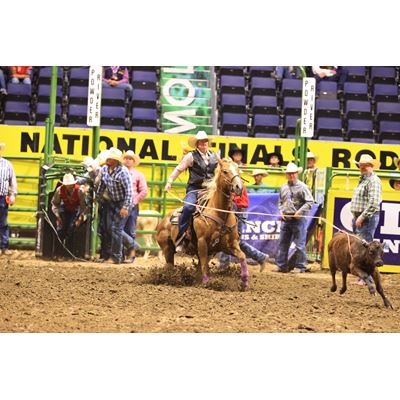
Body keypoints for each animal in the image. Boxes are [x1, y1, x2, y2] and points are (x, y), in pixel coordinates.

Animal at [157, 158, 248, 290]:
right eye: (225, 171)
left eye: (238, 170)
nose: (239, 187)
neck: (219, 212)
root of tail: (163, 221)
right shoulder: (202, 242)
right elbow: (205, 264)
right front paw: (206, 283)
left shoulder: (231, 245)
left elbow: (242, 257)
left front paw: (244, 283)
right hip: (167, 248)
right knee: (170, 265)